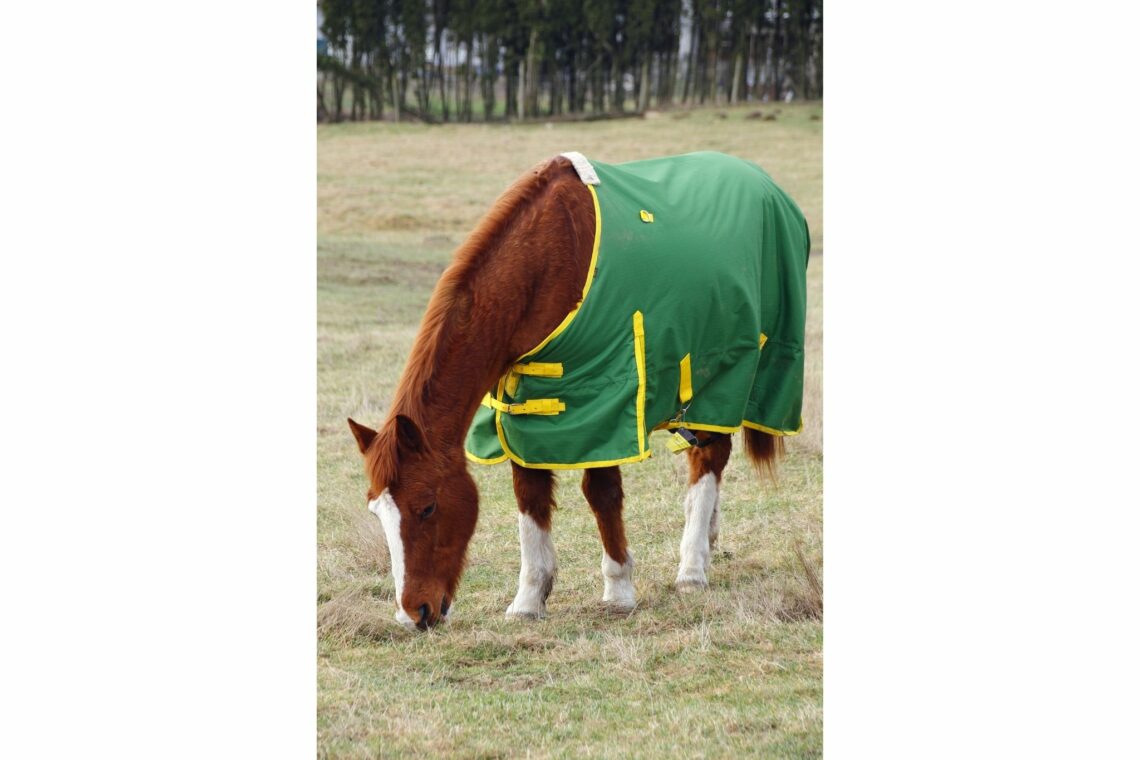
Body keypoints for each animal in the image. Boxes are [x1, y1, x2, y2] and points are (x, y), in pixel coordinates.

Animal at [348, 151, 810, 630]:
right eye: (377, 512)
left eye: (426, 507)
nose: (413, 614)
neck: (544, 261)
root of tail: (765, 184)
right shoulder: (522, 407)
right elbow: (529, 494)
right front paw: (529, 599)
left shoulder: (604, 399)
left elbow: (602, 494)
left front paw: (619, 590)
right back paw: (709, 540)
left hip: (728, 373)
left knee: (709, 458)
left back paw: (692, 568)